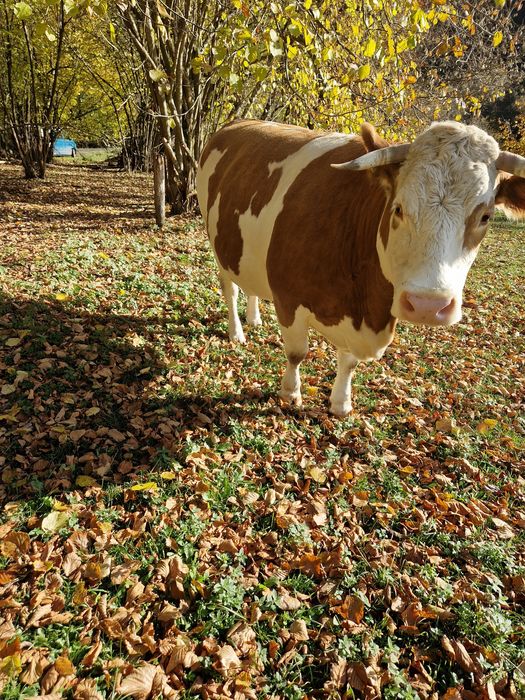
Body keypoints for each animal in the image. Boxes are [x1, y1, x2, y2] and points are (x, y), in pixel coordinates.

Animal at [196, 119, 525, 416]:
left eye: (485, 216)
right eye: (397, 208)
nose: (427, 305)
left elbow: (349, 362)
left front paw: (340, 403)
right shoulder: (288, 299)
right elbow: (297, 352)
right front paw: (290, 393)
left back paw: (253, 319)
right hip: (217, 244)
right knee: (230, 291)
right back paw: (237, 332)